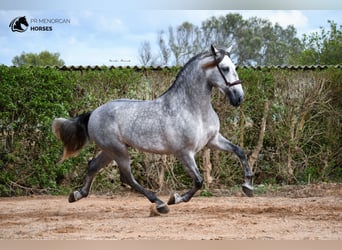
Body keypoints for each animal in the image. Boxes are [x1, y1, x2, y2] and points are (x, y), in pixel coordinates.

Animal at [52, 45, 252, 215]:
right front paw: (175, 198)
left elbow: (239, 151)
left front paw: (248, 186)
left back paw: (77, 194)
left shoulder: (213, 140)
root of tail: (94, 112)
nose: (239, 98)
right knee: (127, 177)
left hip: (110, 150)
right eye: (225, 68)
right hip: (118, 150)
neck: (193, 108)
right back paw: (160, 203)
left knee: (94, 166)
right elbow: (199, 181)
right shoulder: (184, 153)